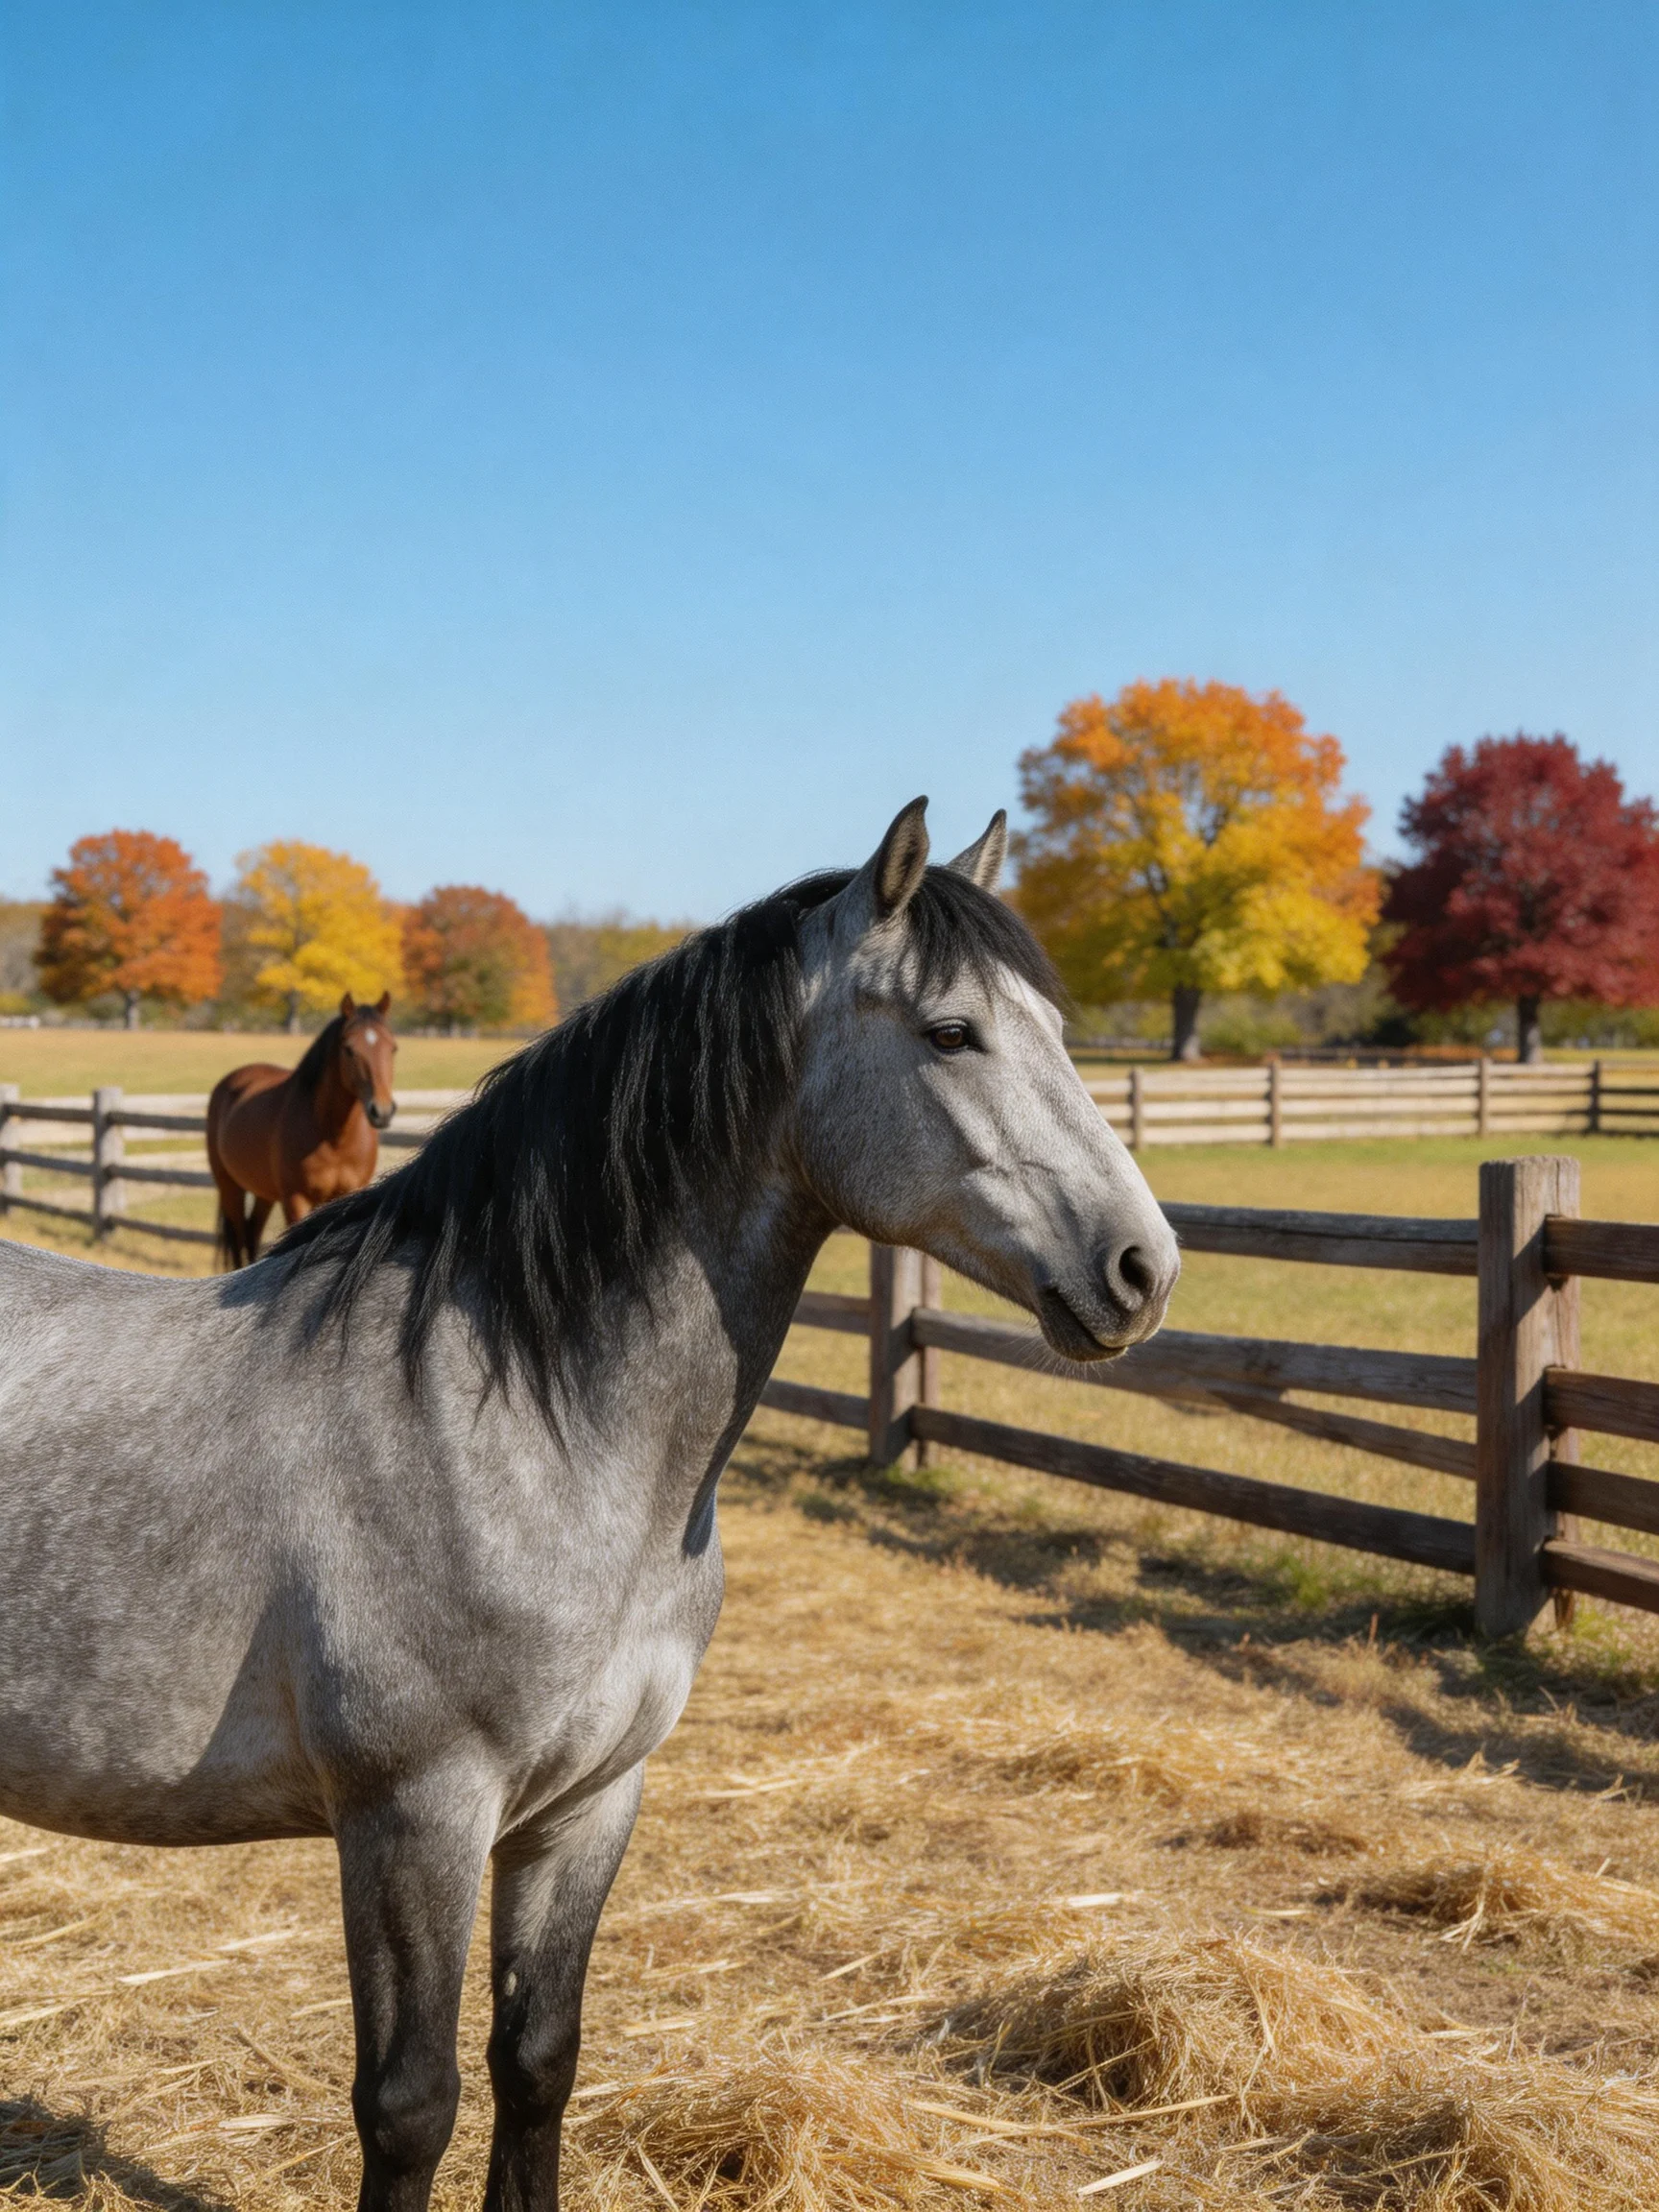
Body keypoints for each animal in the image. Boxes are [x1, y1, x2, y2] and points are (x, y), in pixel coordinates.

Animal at [207, 991, 398, 1266]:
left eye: (393, 1048)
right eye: (349, 1049)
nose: (381, 1111)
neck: (334, 1138)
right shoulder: (297, 1200)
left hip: (264, 1192)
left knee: (253, 1231)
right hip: (230, 1187)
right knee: (240, 1238)